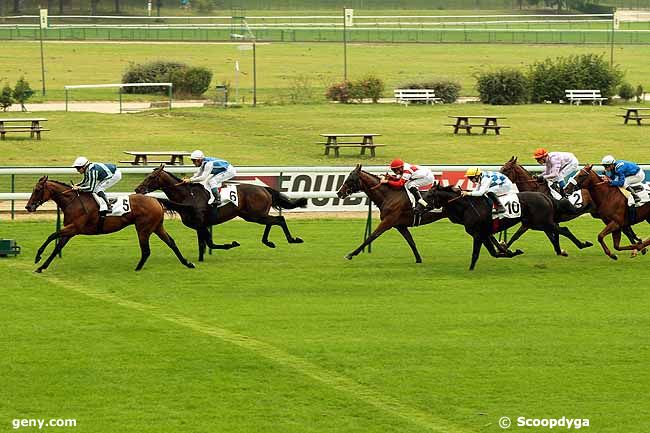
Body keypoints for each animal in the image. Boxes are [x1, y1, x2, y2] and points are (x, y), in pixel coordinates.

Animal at [24, 175, 195, 270]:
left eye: (38, 189)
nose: (28, 206)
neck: (73, 202)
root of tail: (155, 199)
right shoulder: (70, 230)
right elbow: (57, 246)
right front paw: (41, 267)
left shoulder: (74, 228)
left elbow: (52, 235)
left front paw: (38, 256)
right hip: (157, 227)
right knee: (171, 242)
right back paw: (187, 263)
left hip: (143, 229)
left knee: (146, 250)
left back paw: (137, 268)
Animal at [134, 165, 306, 260]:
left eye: (151, 177)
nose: (137, 189)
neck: (188, 196)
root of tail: (264, 188)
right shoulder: (199, 225)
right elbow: (203, 244)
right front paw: (200, 259)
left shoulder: (201, 223)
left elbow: (209, 243)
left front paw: (231, 244)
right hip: (253, 215)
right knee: (272, 221)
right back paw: (268, 241)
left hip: (255, 215)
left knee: (280, 219)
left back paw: (292, 239)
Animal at [422, 185, 564, 270]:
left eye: (428, 195)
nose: (418, 207)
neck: (468, 207)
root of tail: (545, 196)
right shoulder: (484, 234)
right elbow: (494, 253)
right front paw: (511, 251)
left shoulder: (478, 234)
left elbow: (476, 253)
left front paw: (470, 269)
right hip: (535, 223)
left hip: (541, 223)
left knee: (563, 230)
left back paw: (566, 250)